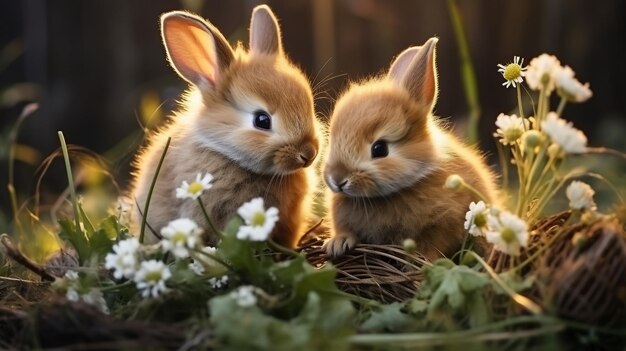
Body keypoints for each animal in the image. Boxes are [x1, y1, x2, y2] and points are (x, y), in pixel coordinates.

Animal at [324, 38, 494, 262]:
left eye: (379, 148)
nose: (337, 179)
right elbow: (345, 229)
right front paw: (338, 244)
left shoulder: (445, 222)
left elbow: (432, 244)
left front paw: (419, 260)